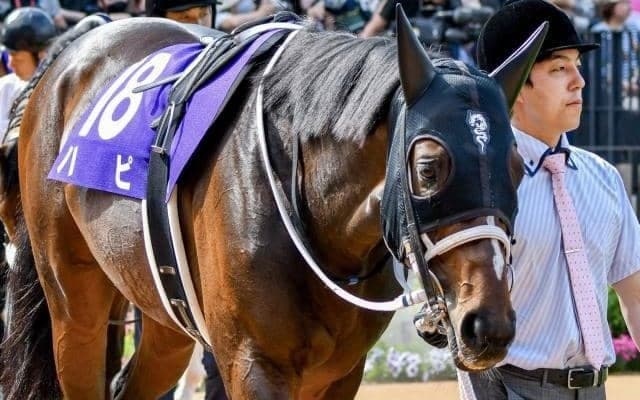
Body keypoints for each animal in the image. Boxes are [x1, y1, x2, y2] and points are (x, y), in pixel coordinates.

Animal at [0, 9, 544, 400]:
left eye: (518, 168)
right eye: (429, 167)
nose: (488, 324)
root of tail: (66, 60)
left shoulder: (339, 374)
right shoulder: (254, 365)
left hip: (159, 309)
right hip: (73, 303)